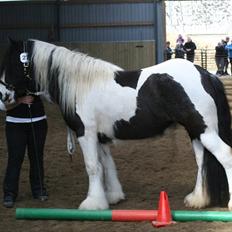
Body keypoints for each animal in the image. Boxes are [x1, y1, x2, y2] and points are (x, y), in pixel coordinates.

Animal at [0, 39, 232, 210]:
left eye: (11, 63)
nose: (3, 96)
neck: (79, 85)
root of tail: (205, 74)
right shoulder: (100, 137)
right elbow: (107, 165)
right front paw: (112, 197)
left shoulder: (86, 133)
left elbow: (92, 167)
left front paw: (92, 204)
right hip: (196, 131)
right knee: (202, 162)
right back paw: (197, 199)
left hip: (204, 131)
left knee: (225, 156)